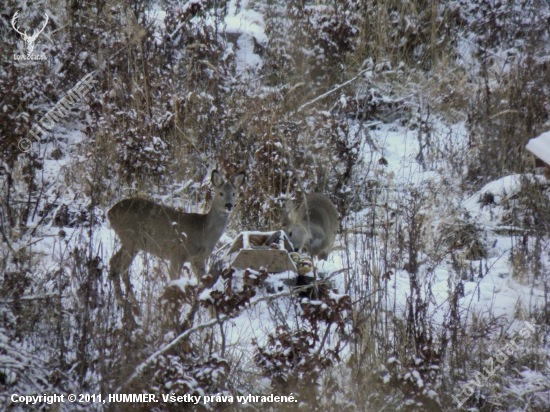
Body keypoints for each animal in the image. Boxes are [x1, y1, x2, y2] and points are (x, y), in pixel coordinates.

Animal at [108, 170, 246, 302]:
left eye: (234, 193)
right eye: (221, 193)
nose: (229, 205)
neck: (204, 231)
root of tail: (110, 212)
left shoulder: (198, 258)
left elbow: (202, 284)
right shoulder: (177, 253)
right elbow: (174, 282)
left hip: (134, 243)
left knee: (114, 262)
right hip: (130, 238)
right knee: (121, 268)